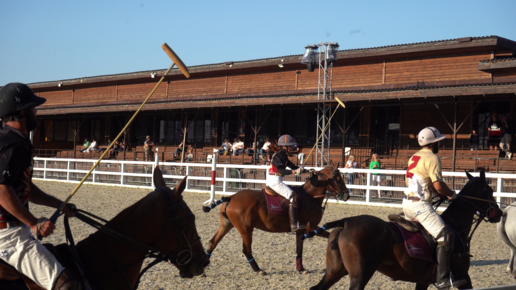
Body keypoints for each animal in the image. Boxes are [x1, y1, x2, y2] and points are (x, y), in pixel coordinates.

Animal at [204, 160, 348, 276]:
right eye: (338, 177)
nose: (347, 195)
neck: (310, 197)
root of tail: (230, 197)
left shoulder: (301, 231)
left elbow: (299, 250)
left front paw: (301, 269)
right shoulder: (311, 227)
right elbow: (329, 236)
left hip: (227, 224)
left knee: (212, 242)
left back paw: (203, 267)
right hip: (246, 229)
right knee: (246, 250)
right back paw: (258, 270)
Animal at [304, 170, 502, 290]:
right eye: (489, 190)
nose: (498, 213)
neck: (456, 225)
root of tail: (346, 222)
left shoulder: (423, 280)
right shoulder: (463, 276)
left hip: (335, 271)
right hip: (359, 275)